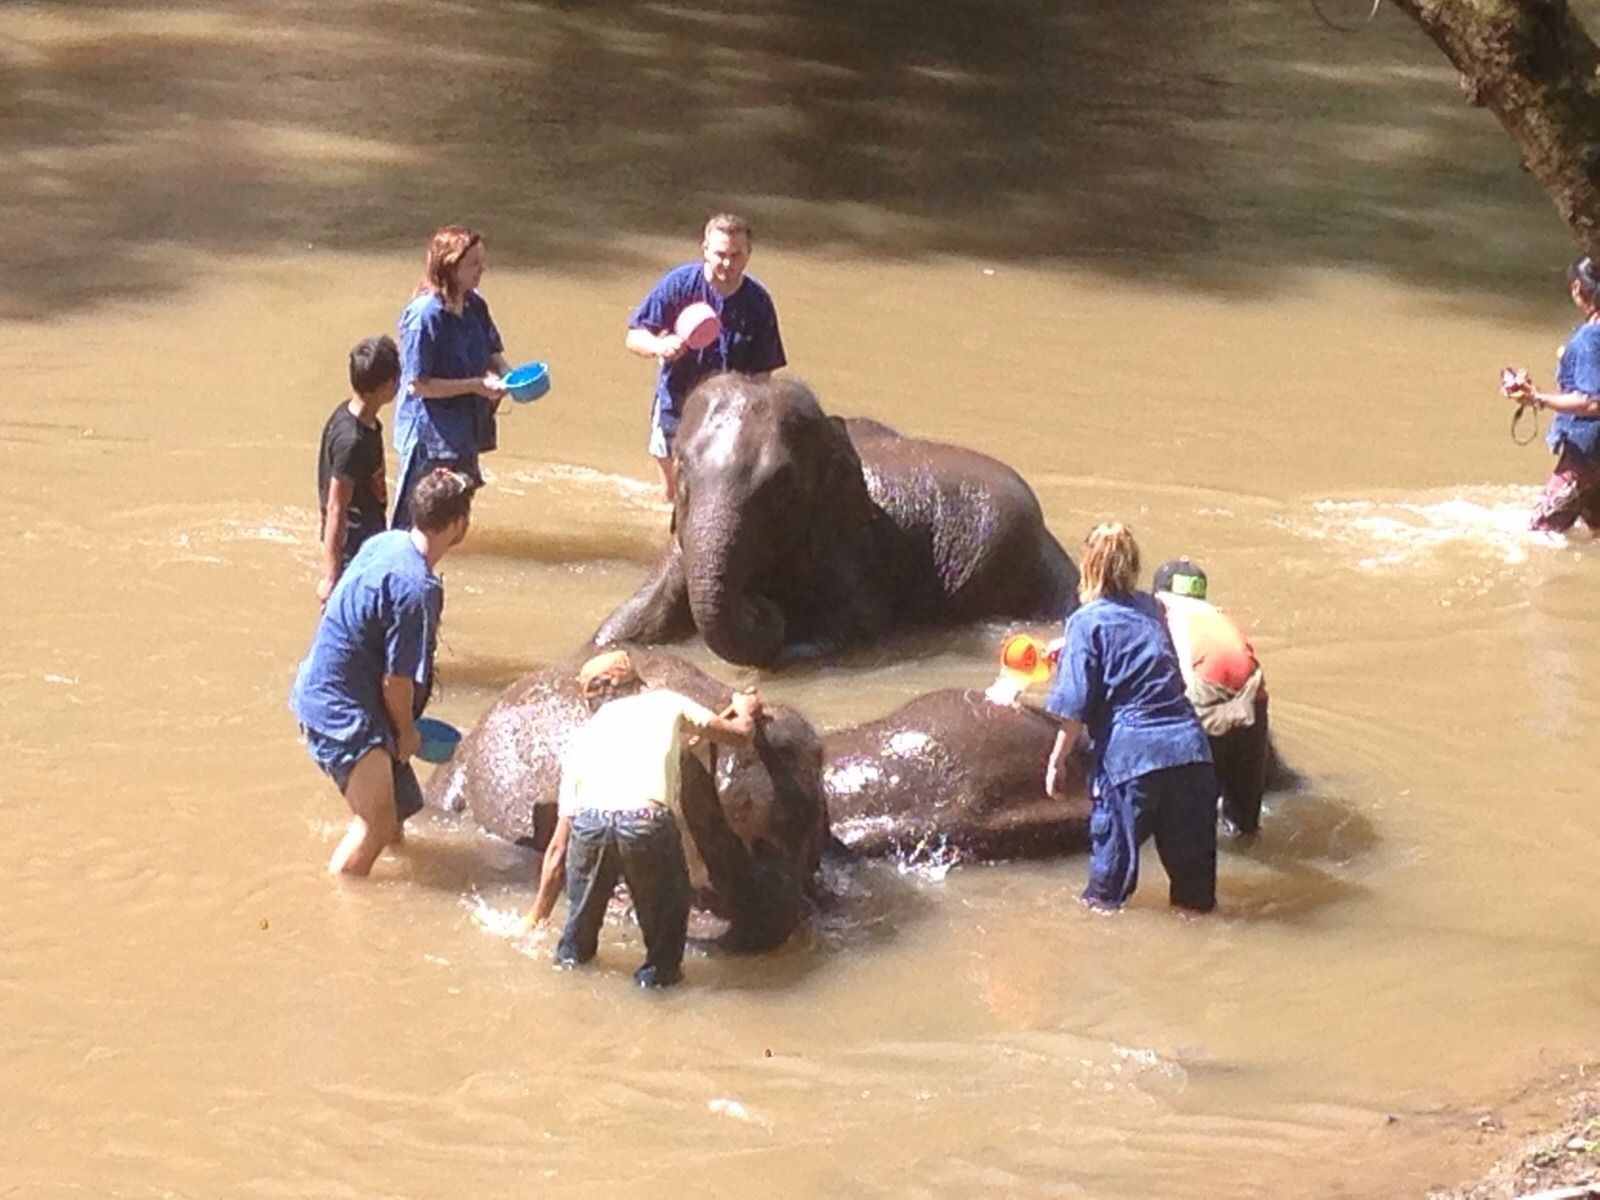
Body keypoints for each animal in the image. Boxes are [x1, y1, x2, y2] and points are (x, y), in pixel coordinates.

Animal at [593, 375, 1080, 667]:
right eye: (681, 470)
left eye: (781, 485)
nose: (762, 604)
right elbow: (626, 624)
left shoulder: (846, 545)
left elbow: (853, 628)